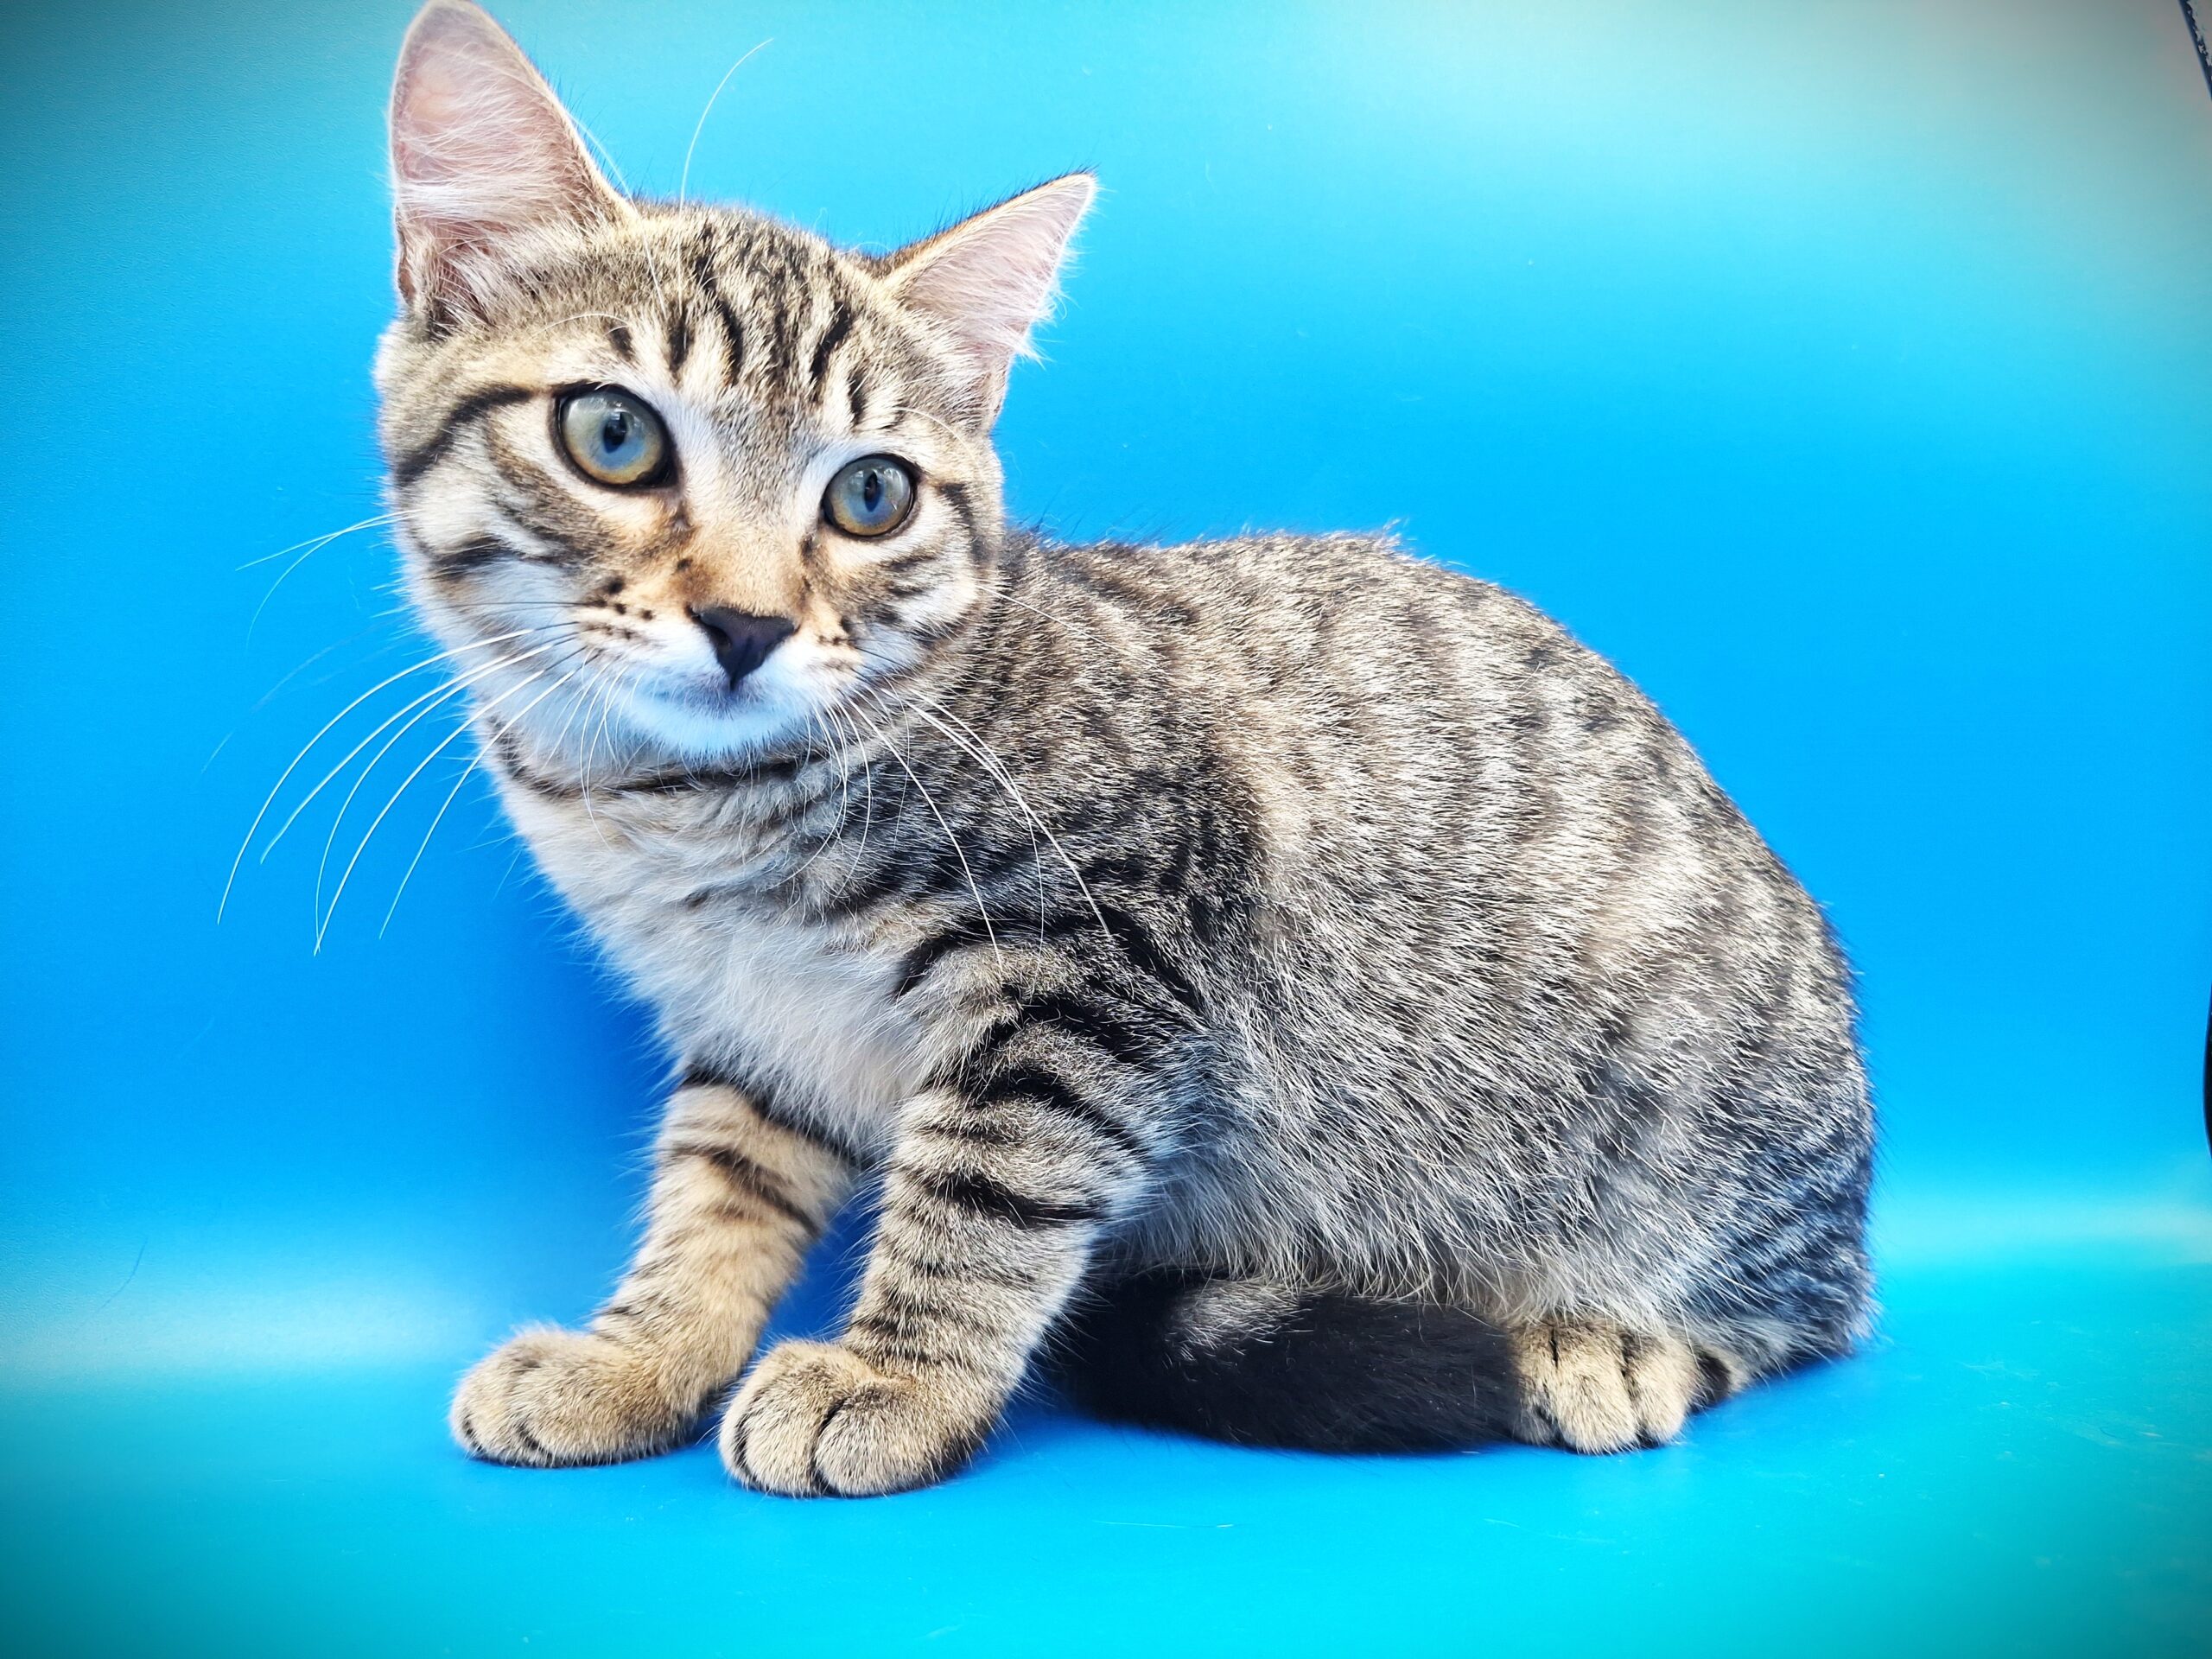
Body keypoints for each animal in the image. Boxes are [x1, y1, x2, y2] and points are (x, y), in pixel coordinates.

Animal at [378, 1, 1873, 1496]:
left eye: (870, 496)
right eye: (613, 434)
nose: (747, 623)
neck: (679, 808)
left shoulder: (1099, 957)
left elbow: (986, 1182)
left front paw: (896, 1377)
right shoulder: (754, 1024)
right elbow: (719, 1185)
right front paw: (639, 1352)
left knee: (1801, 1318)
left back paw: (1617, 1341)